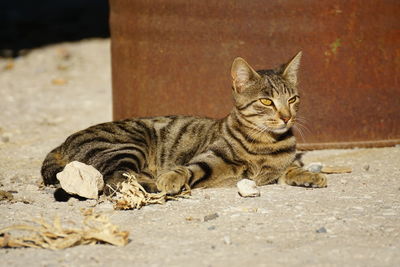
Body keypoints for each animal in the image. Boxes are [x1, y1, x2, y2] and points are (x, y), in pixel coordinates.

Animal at [40, 51, 328, 197]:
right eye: (267, 101)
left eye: (292, 99)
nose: (287, 117)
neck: (266, 143)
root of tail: (64, 142)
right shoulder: (209, 158)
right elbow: (190, 168)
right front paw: (171, 178)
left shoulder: (278, 168)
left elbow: (290, 169)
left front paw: (311, 176)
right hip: (128, 145)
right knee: (116, 178)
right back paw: (154, 183)